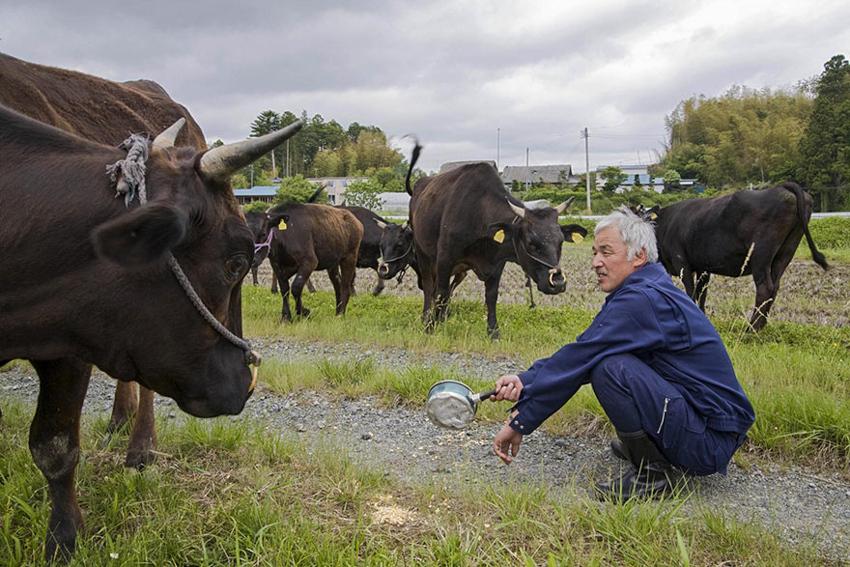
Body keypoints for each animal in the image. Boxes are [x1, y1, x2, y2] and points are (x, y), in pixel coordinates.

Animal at [404, 143, 584, 338]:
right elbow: (441, 294)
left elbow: (491, 297)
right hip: (423, 254)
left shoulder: (496, 265)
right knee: (429, 286)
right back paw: (427, 317)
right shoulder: (445, 259)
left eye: (560, 242)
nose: (557, 283)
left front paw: (493, 332)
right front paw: (431, 327)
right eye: (531, 243)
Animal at [640, 182, 824, 330]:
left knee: (765, 288)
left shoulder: (682, 263)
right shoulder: (703, 268)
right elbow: (701, 294)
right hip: (785, 252)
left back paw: (752, 329)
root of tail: (781, 188)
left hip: (760, 256)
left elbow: (691, 292)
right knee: (774, 287)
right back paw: (761, 326)